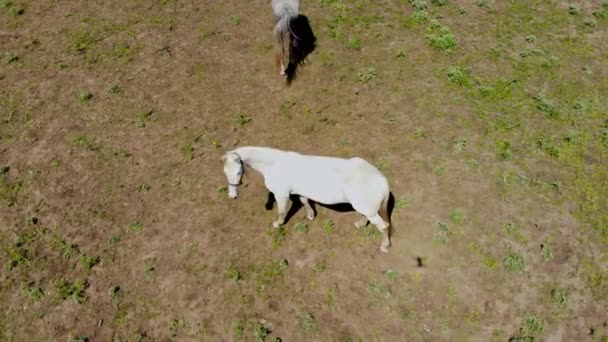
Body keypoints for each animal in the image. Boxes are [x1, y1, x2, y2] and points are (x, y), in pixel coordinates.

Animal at [223, 146, 394, 252]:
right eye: (225, 172)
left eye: (238, 172)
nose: (232, 195)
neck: (274, 164)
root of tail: (382, 181)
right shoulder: (299, 191)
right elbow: (305, 201)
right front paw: (311, 215)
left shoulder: (281, 194)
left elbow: (282, 211)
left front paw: (278, 224)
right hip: (365, 208)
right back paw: (359, 224)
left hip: (369, 210)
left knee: (383, 226)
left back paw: (385, 246)